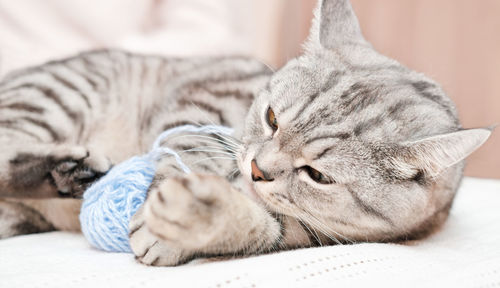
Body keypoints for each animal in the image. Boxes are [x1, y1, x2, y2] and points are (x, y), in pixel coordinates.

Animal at [0, 0, 492, 266]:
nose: (258, 169)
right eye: (272, 118)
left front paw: (186, 226)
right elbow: (186, 149)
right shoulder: (204, 99)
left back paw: (67, 176)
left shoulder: (306, 233)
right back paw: (69, 169)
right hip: (57, 94)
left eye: (318, 176)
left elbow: (254, 224)